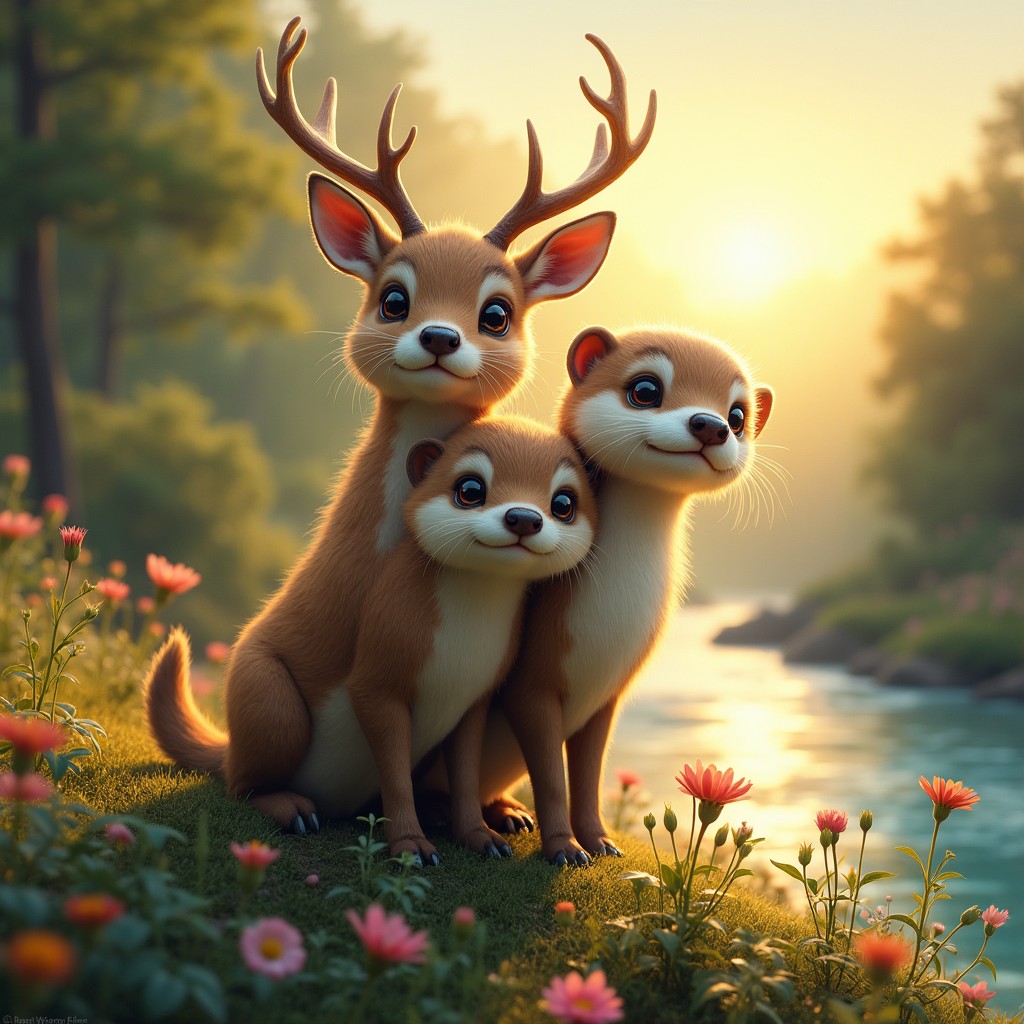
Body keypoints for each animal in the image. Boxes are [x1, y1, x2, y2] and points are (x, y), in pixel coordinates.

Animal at [144, 17, 656, 852]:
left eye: (497, 313)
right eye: (392, 299)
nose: (441, 338)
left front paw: (476, 829)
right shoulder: (368, 674)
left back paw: (498, 813)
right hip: (263, 696)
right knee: (241, 780)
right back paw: (296, 806)